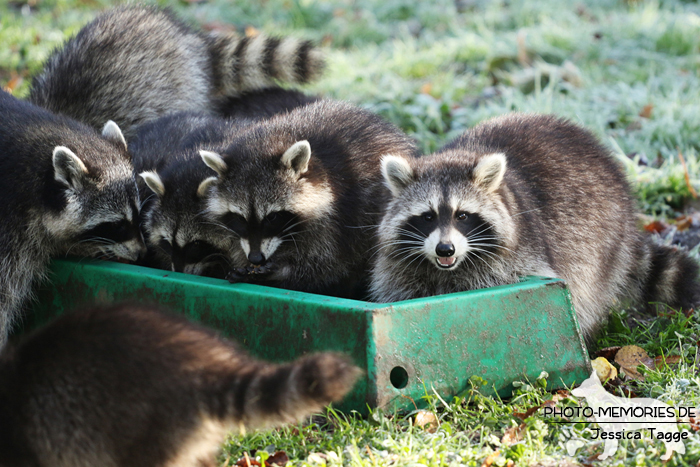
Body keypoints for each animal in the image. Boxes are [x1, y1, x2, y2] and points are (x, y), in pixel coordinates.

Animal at [198, 99, 422, 296]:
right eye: (239, 218)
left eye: (272, 217)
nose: (256, 258)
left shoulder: (340, 211)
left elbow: (327, 265)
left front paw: (280, 273)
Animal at [374, 113, 700, 340]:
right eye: (428, 216)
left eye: (462, 216)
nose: (445, 249)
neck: (448, 270)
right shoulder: (402, 269)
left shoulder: (519, 259)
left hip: (604, 240)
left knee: (585, 290)